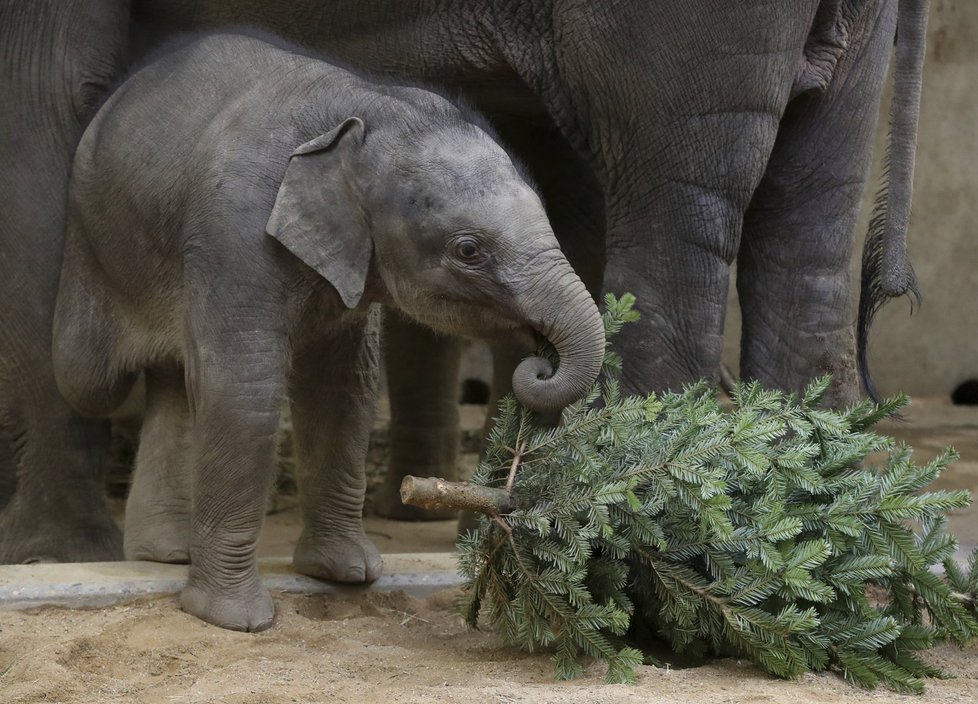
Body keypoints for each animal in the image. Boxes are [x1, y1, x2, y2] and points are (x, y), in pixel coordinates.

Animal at [53, 33, 608, 632]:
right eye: (468, 250)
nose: (540, 359)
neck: (364, 107)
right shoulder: (233, 230)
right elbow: (244, 391)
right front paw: (236, 620)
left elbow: (342, 389)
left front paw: (348, 574)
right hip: (93, 239)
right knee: (90, 376)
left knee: (172, 379)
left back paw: (167, 553)